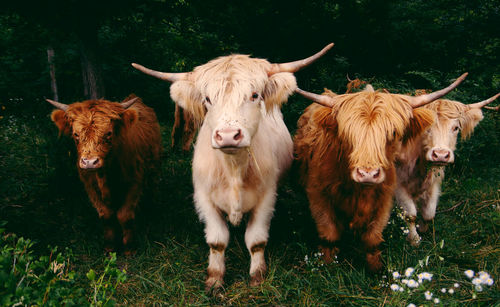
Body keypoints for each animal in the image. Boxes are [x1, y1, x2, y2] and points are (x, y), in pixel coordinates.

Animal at [46, 94, 160, 255]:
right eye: (76, 134)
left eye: (108, 133)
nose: (89, 162)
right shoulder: (90, 186)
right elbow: (106, 215)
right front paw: (109, 247)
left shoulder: (135, 182)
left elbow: (125, 215)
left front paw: (130, 248)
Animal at [294, 74, 466, 272]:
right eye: (347, 133)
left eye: (392, 132)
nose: (367, 174)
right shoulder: (319, 196)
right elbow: (329, 233)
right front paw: (328, 264)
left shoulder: (384, 199)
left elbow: (373, 238)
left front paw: (376, 268)